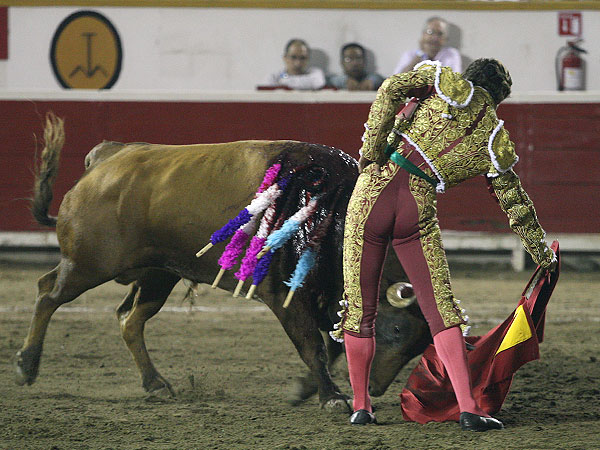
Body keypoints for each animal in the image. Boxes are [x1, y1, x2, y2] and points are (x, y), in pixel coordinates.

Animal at [14, 113, 432, 412]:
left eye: (419, 345)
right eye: (397, 330)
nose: (375, 386)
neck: (330, 210)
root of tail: (110, 155)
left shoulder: (325, 294)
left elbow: (332, 346)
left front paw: (307, 389)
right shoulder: (285, 294)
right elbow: (314, 345)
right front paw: (332, 397)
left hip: (158, 273)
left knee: (129, 320)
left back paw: (156, 384)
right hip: (90, 263)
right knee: (48, 293)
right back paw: (27, 365)